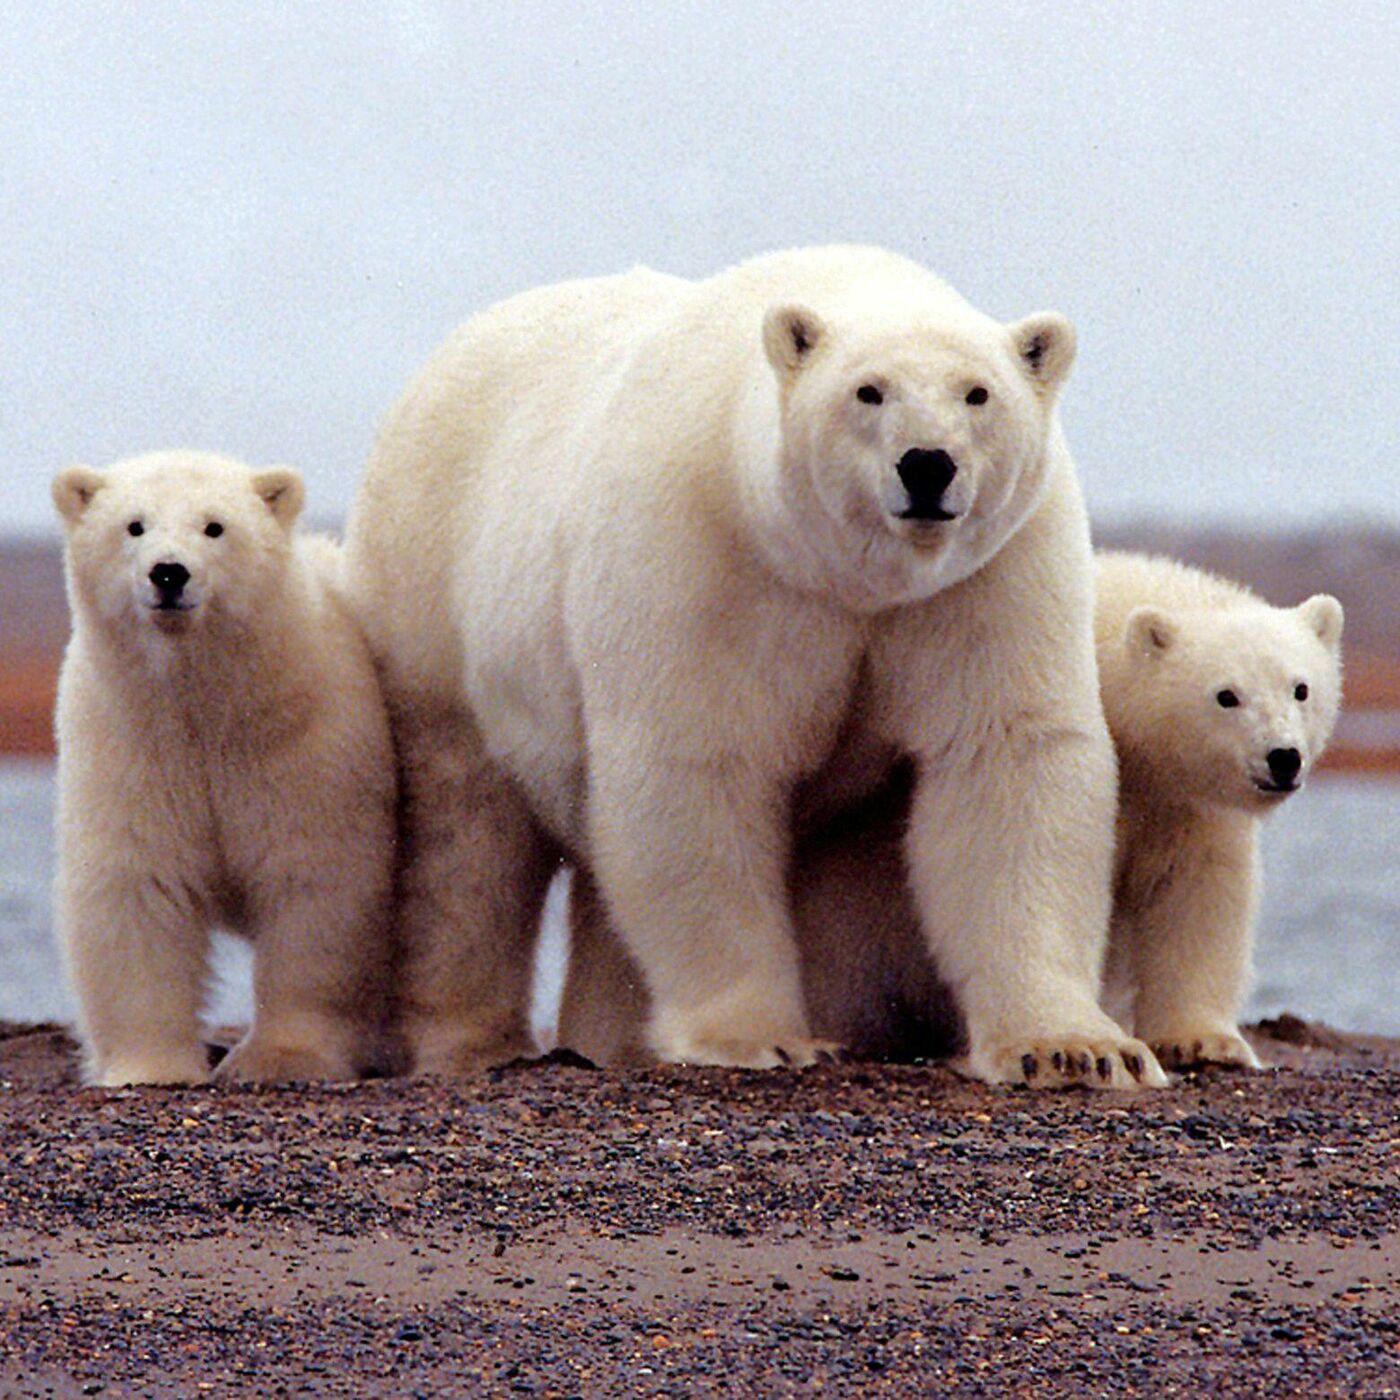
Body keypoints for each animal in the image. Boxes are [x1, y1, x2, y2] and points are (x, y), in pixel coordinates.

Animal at [352, 246, 1170, 1086]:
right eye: (867, 390)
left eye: (977, 393)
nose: (927, 465)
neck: (845, 577)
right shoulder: (707, 558)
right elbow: (698, 768)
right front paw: (762, 1037)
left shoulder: (985, 577)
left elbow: (1005, 759)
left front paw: (1077, 1049)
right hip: (433, 594)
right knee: (465, 836)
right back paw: (471, 1040)